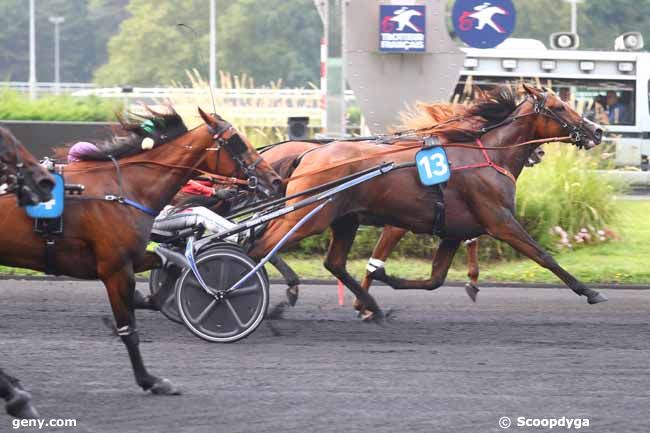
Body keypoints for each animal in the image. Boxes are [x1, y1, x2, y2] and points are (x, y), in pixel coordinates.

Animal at [0, 108, 278, 398]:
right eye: (237, 141)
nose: (274, 179)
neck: (120, 190)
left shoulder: (130, 259)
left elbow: (172, 265)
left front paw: (149, 299)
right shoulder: (115, 268)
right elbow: (129, 330)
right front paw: (151, 380)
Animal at [247, 85, 604, 318]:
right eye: (559, 107)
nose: (597, 130)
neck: (487, 156)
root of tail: (309, 154)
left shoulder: (453, 231)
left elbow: (435, 280)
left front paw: (382, 282)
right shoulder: (500, 221)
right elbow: (544, 256)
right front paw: (589, 291)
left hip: (342, 218)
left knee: (332, 262)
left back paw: (370, 305)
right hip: (308, 214)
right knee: (261, 246)